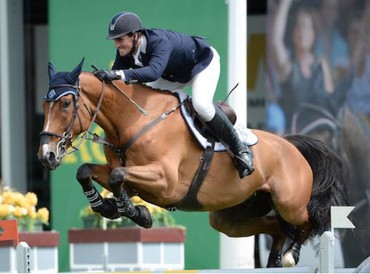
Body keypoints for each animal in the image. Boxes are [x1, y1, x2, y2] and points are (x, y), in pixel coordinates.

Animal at [37, 59, 346, 268]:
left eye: (66, 105)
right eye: (44, 105)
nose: (46, 155)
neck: (134, 123)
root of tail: (290, 145)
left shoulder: (165, 183)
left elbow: (117, 177)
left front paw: (136, 213)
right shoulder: (135, 179)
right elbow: (87, 171)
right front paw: (109, 207)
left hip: (289, 203)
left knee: (309, 221)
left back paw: (291, 255)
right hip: (231, 218)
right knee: (276, 227)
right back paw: (274, 259)